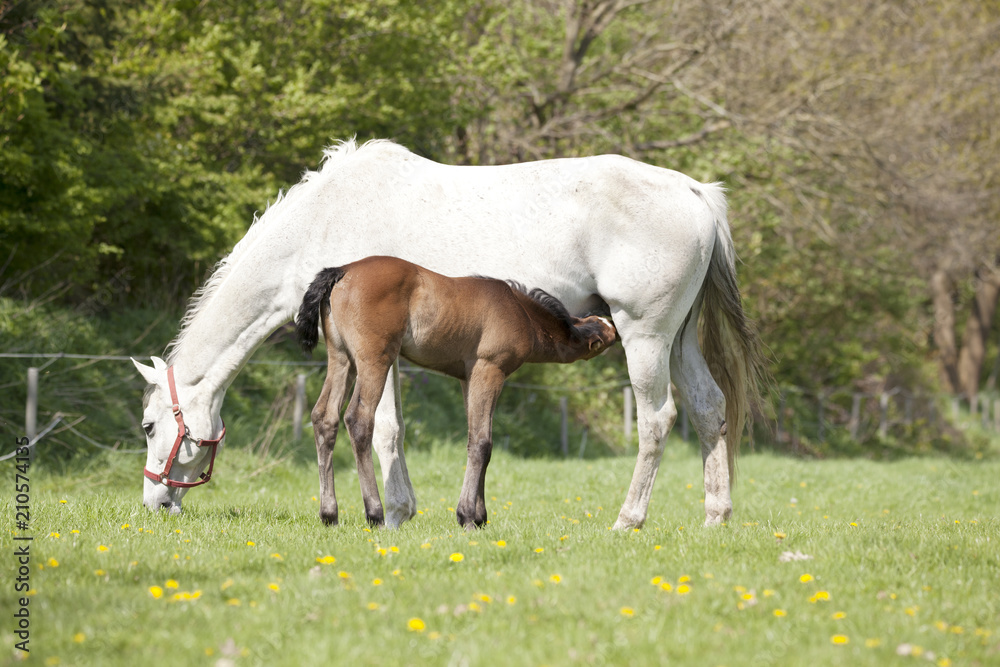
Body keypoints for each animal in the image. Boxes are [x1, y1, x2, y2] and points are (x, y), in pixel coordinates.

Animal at [293, 255, 619, 529]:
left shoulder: (468, 378)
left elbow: (478, 437)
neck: (520, 311)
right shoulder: (489, 370)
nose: (616, 326)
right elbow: (482, 443)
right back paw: (375, 514)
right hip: (375, 359)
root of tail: (342, 270)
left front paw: (480, 515)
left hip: (341, 358)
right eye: (605, 330)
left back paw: (329, 515)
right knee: (358, 419)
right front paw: (467, 517)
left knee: (324, 417)